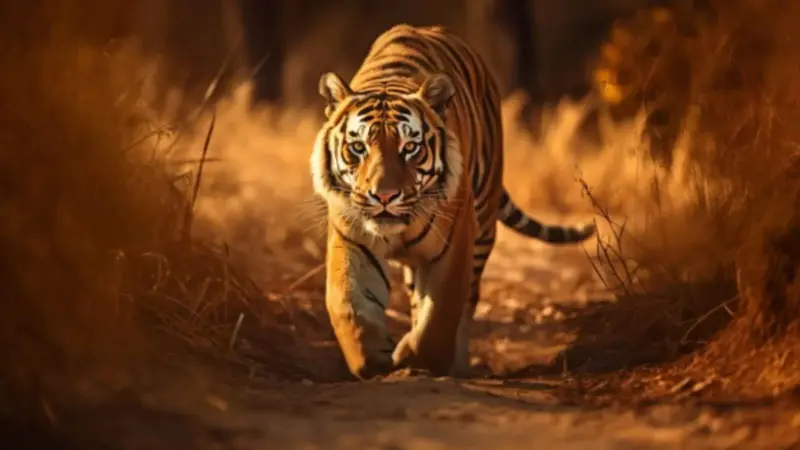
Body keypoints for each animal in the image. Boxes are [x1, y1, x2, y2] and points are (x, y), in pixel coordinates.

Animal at [310, 24, 596, 380]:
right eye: (358, 148)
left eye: (410, 148)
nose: (384, 196)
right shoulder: (352, 239)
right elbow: (349, 306)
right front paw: (372, 358)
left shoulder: (454, 242)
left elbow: (441, 315)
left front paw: (415, 359)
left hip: (482, 225)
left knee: (468, 300)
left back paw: (458, 365)